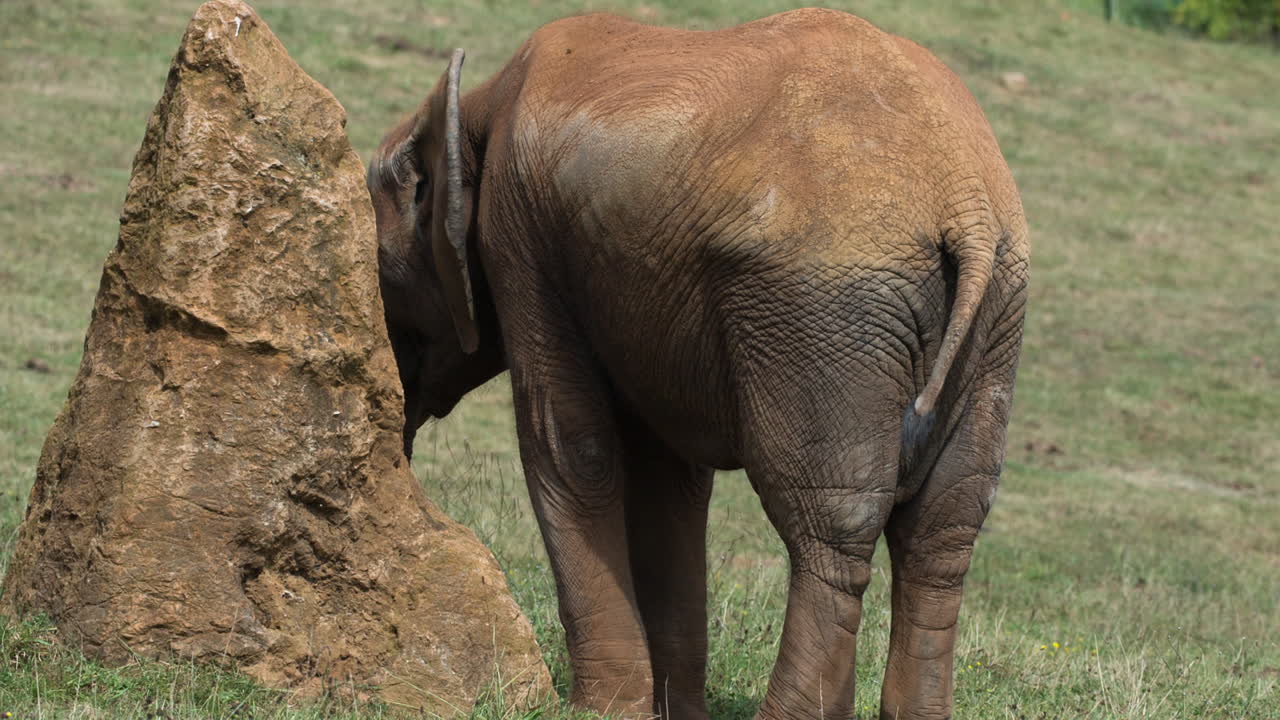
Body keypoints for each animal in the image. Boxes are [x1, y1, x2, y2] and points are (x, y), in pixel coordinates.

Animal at [367, 8, 1028, 720]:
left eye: (378, 275)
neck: (476, 102)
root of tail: (964, 203)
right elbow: (671, 480)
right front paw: (670, 712)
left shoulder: (519, 231)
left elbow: (569, 445)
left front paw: (604, 712)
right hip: (994, 322)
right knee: (945, 525)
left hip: (823, 306)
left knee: (830, 521)